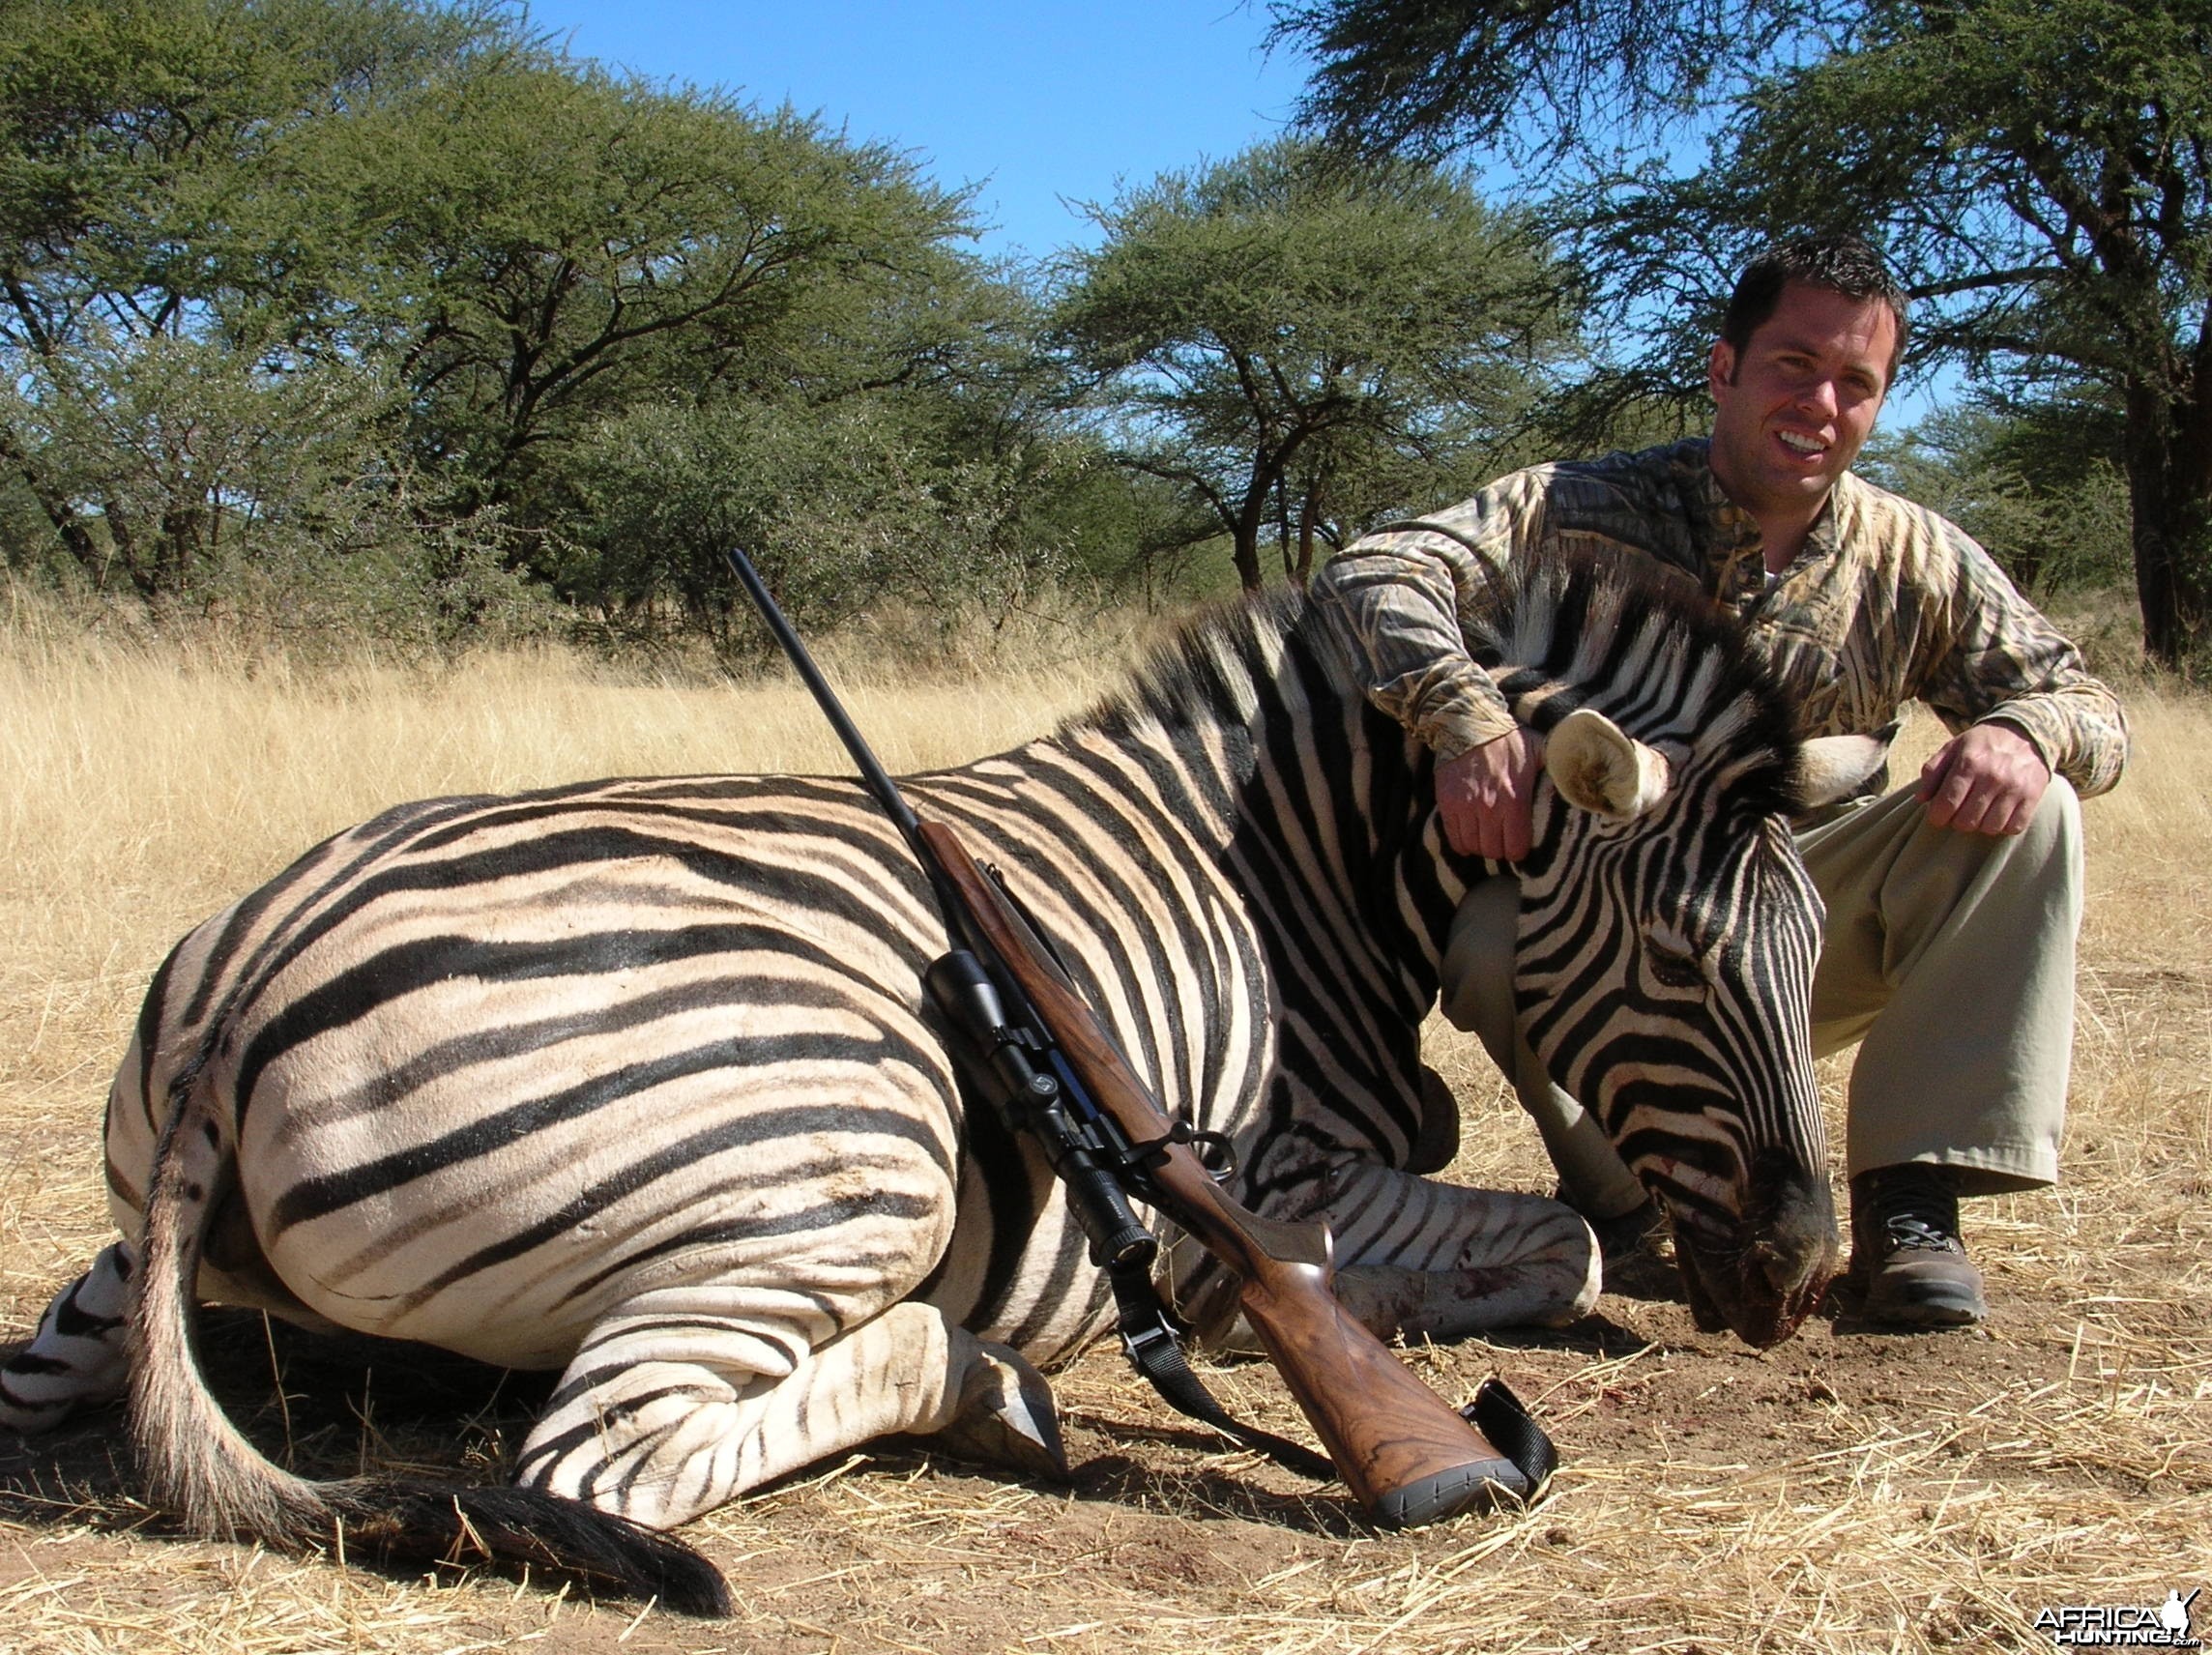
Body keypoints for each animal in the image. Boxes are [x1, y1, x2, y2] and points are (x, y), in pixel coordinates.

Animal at [0, 548, 1884, 1611]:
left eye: (1817, 952)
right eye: (1680, 962)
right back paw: (988, 1384)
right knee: (607, 1463)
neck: (1295, 872)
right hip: (858, 1155)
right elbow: (1556, 1247)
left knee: (42, 1381)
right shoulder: (1285, 1185)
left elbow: (1560, 1239)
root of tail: (254, 977)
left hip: (122, 1250)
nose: (1804, 1271)